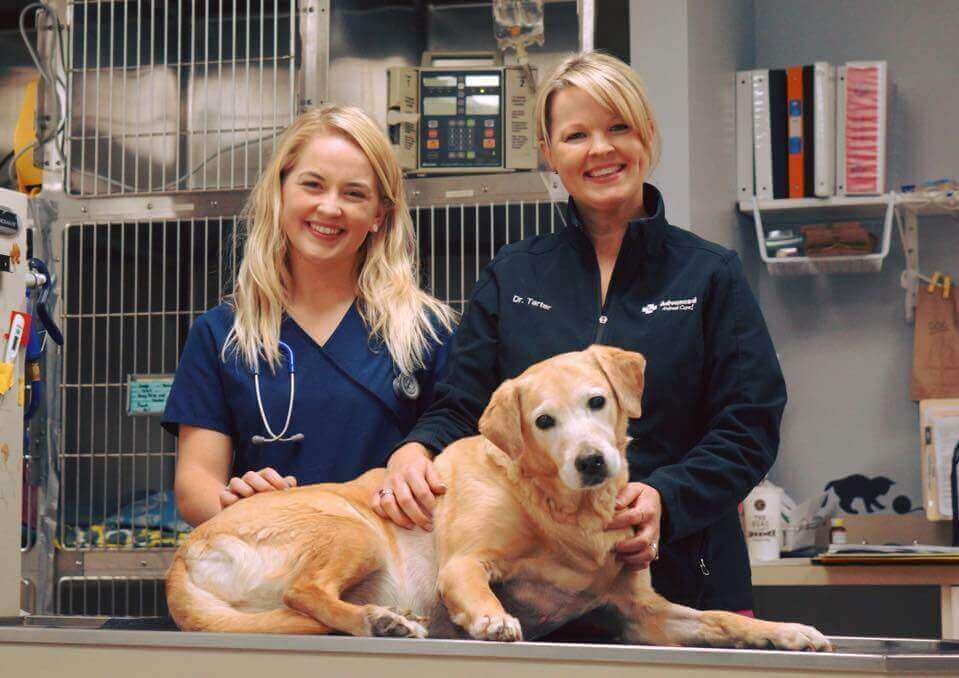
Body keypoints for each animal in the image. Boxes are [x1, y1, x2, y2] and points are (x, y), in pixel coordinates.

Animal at [167, 348, 832, 652]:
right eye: (543, 421)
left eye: (597, 402)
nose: (593, 462)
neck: (562, 511)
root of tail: (182, 556)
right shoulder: (464, 564)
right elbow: (480, 590)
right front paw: (491, 618)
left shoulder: (644, 614)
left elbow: (723, 619)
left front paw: (789, 631)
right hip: (352, 529)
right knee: (304, 594)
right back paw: (380, 620)